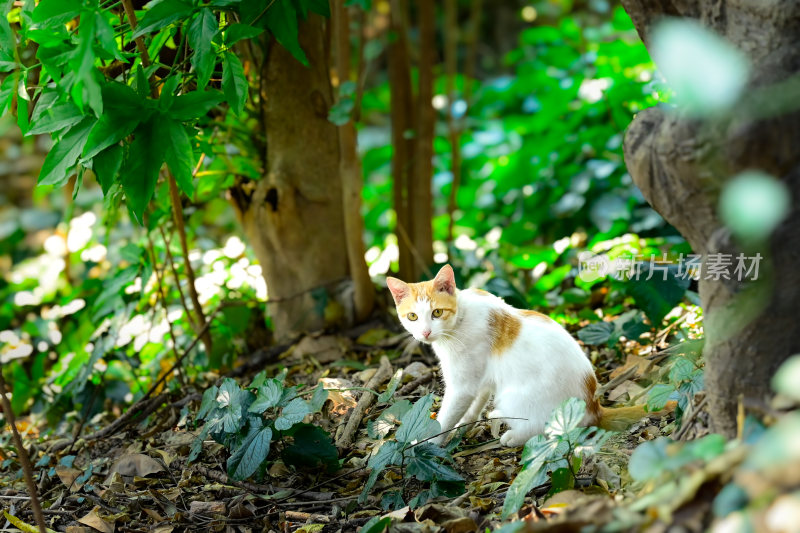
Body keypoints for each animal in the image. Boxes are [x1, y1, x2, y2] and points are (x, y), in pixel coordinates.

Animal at [384, 264, 660, 444]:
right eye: (412, 316)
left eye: (437, 313)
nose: (425, 332)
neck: (460, 318)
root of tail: (594, 406)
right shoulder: (480, 376)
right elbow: (477, 399)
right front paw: (466, 423)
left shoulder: (463, 384)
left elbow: (449, 411)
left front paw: (429, 443)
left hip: (517, 398)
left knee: (548, 429)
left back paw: (513, 435)